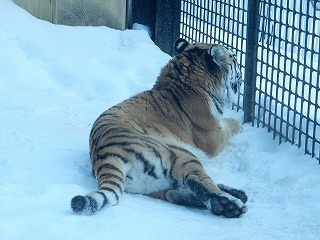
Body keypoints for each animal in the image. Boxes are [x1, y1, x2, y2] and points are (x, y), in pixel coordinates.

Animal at [71, 37, 248, 218]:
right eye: (234, 57)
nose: (241, 71)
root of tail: (105, 156)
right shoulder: (213, 137)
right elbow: (230, 124)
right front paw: (239, 124)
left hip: (154, 185)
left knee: (174, 193)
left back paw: (233, 198)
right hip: (182, 155)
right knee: (197, 181)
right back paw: (230, 203)